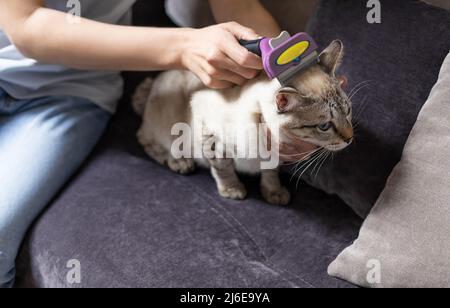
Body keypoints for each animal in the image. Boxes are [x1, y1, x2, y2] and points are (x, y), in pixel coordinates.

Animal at [132, 39, 354, 206]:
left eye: (348, 111)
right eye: (324, 126)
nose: (350, 139)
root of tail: (152, 84)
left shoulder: (274, 156)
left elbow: (270, 172)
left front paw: (273, 193)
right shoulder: (210, 134)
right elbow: (223, 168)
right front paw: (232, 190)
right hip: (168, 129)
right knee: (146, 140)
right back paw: (179, 162)